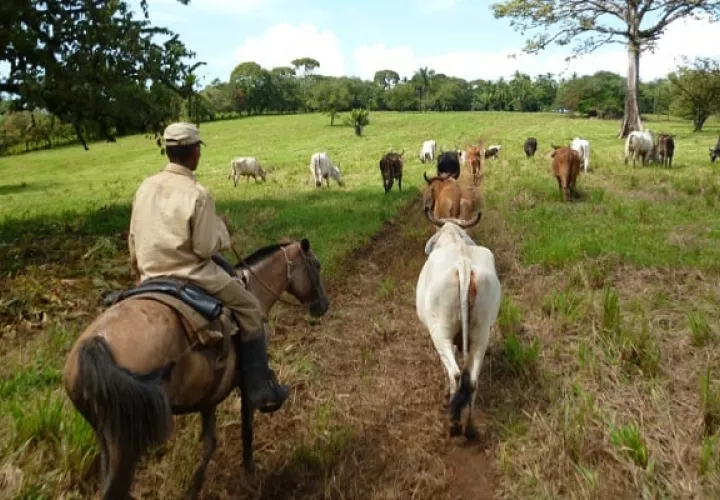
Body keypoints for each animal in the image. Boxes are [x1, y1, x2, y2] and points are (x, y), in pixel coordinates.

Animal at [63, 238, 330, 500]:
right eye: (316, 265)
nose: (323, 306)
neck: (253, 288)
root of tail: (95, 344)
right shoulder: (246, 385)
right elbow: (247, 429)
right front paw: (249, 474)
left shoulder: (208, 395)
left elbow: (210, 442)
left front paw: (195, 487)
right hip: (127, 443)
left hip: (106, 435)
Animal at [416, 207, 500, 438]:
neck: (454, 240)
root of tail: (464, 265)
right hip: (481, 334)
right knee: (471, 380)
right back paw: (468, 426)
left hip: (440, 332)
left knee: (455, 373)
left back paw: (453, 423)